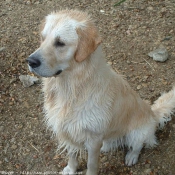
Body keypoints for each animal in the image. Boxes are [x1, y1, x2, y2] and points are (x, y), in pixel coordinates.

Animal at [26, 9, 175, 175]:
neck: (71, 87)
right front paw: (71, 169)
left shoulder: (92, 139)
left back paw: (131, 156)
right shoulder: (68, 130)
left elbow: (91, 164)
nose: (30, 61)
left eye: (60, 43)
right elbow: (72, 154)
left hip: (138, 133)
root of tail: (153, 114)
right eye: (43, 38)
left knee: (138, 146)